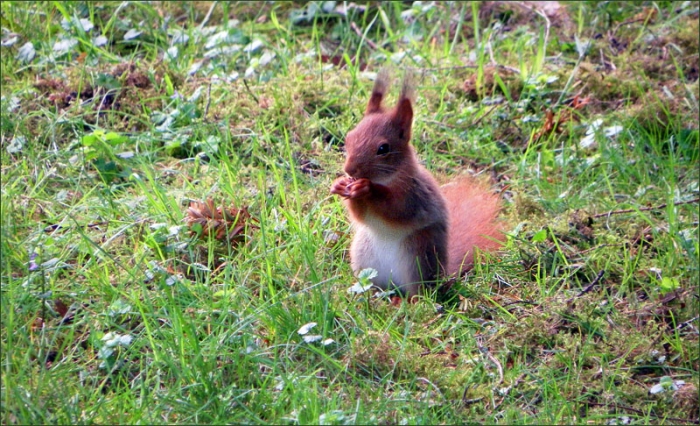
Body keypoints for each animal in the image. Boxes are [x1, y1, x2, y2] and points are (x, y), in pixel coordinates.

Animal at [330, 70, 504, 297]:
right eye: (349, 137)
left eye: (383, 148)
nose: (350, 170)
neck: (389, 179)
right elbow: (360, 215)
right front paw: (341, 185)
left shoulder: (415, 195)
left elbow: (397, 210)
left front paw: (368, 189)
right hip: (364, 255)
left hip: (418, 255)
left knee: (419, 292)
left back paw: (410, 300)